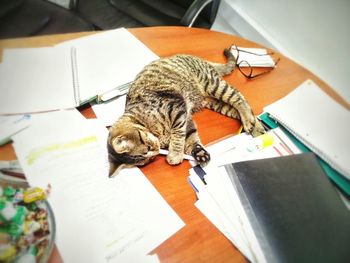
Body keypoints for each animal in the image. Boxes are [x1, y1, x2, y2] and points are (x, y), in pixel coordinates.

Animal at [108, 47, 264, 177]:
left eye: (148, 148)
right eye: (149, 159)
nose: (157, 150)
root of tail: (200, 59)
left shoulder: (177, 109)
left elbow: (178, 135)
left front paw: (175, 155)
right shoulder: (187, 121)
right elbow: (191, 139)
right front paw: (200, 154)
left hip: (212, 85)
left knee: (239, 97)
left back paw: (250, 123)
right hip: (214, 102)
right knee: (240, 110)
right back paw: (256, 126)